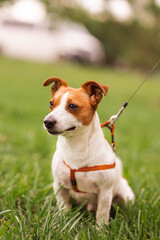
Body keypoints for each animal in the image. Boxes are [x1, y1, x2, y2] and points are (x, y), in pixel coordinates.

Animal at [42, 76, 135, 225]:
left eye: (72, 106)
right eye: (51, 103)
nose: (47, 122)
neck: (76, 147)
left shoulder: (105, 192)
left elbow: (102, 214)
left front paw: (101, 229)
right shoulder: (59, 186)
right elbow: (63, 208)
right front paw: (62, 223)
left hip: (126, 198)